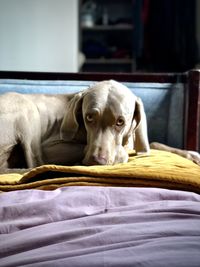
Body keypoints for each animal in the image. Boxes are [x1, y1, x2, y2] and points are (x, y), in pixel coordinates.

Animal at [0, 80, 150, 171]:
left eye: (120, 122)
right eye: (89, 117)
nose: (96, 160)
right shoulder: (49, 148)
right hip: (26, 106)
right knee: (37, 163)